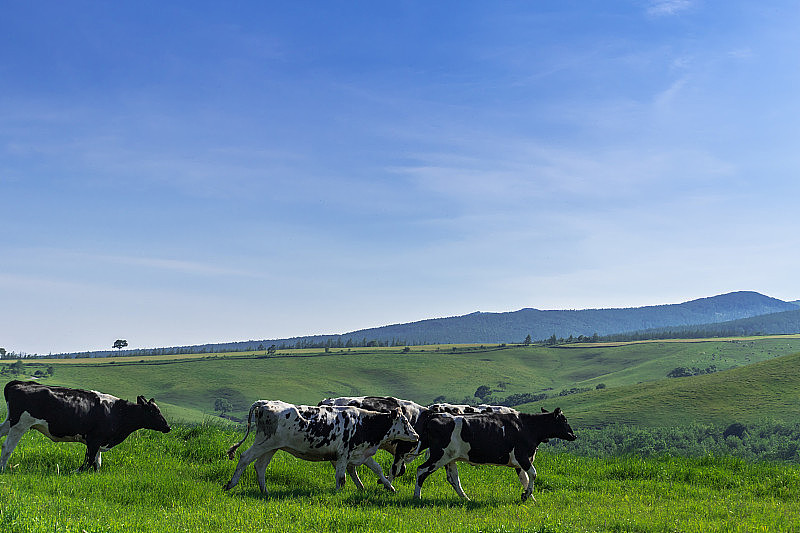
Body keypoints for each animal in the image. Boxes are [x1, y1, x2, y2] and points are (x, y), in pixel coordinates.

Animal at [0, 378, 170, 470]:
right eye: (154, 412)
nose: (168, 427)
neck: (116, 411)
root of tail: (21, 383)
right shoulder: (94, 439)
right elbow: (89, 461)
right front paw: (76, 471)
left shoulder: (99, 441)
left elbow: (97, 462)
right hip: (19, 425)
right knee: (7, 447)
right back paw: (3, 469)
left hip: (9, 422)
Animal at [223, 402, 418, 492]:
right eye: (405, 421)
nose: (416, 436)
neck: (364, 423)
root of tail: (264, 403)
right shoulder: (343, 454)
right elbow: (341, 476)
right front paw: (338, 492)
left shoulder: (361, 453)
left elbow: (377, 469)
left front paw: (389, 487)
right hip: (264, 442)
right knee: (245, 458)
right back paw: (231, 484)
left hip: (272, 447)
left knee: (260, 466)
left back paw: (265, 491)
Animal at [412, 406, 576, 500]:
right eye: (564, 420)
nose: (574, 435)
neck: (528, 427)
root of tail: (435, 416)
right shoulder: (522, 456)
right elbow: (533, 474)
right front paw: (527, 495)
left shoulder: (520, 462)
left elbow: (525, 479)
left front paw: (530, 498)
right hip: (438, 456)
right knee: (421, 470)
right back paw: (417, 497)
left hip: (450, 458)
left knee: (453, 479)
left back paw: (466, 499)